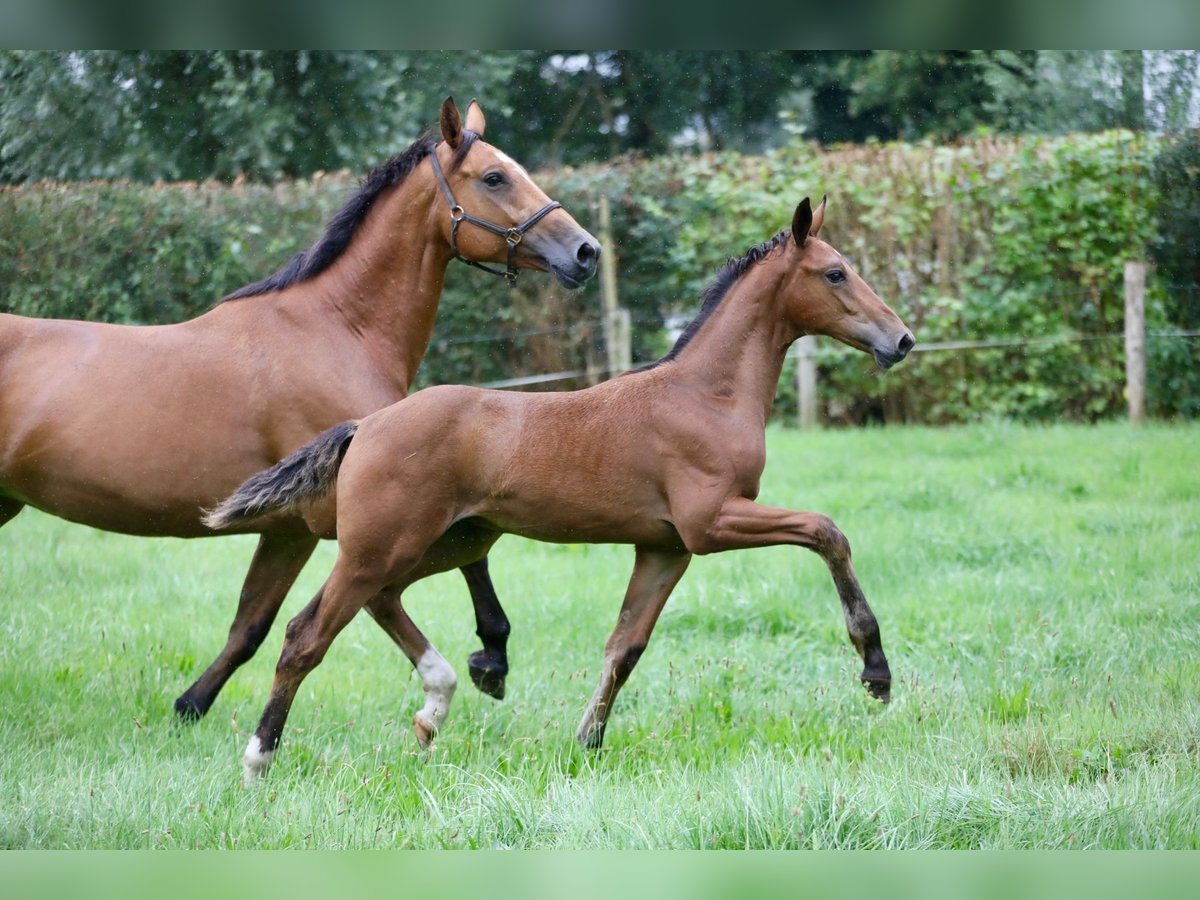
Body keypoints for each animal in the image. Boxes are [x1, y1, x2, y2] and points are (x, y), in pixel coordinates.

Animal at [0, 97, 600, 720]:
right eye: (494, 177)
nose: (586, 252)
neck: (336, 328)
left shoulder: (290, 528)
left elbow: (250, 627)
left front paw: (191, 706)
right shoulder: (360, 511)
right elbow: (445, 568)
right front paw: (491, 657)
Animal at [208, 194, 916, 777]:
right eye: (835, 273)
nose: (902, 340)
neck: (706, 395)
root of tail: (367, 425)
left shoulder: (666, 547)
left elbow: (624, 647)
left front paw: (587, 743)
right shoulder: (712, 522)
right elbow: (826, 531)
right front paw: (875, 672)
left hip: (449, 542)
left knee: (381, 601)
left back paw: (437, 706)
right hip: (382, 546)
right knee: (305, 635)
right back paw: (259, 759)